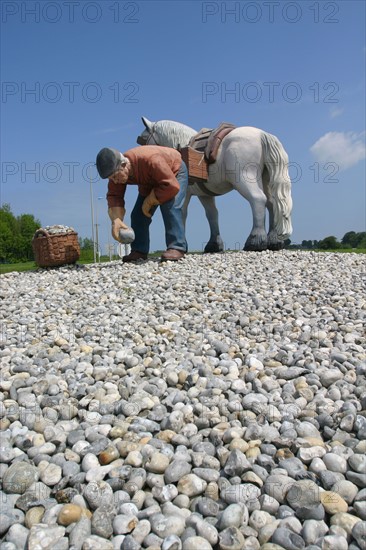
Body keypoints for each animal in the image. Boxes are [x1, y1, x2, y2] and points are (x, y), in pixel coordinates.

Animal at [136, 118, 294, 254]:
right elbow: (212, 215)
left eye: (142, 139)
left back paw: (255, 240)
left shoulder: (184, 192)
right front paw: (214, 244)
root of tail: (262, 135)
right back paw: (274, 240)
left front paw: (181, 246)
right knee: (272, 203)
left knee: (258, 200)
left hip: (244, 179)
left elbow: (181, 212)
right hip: (265, 180)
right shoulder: (204, 195)